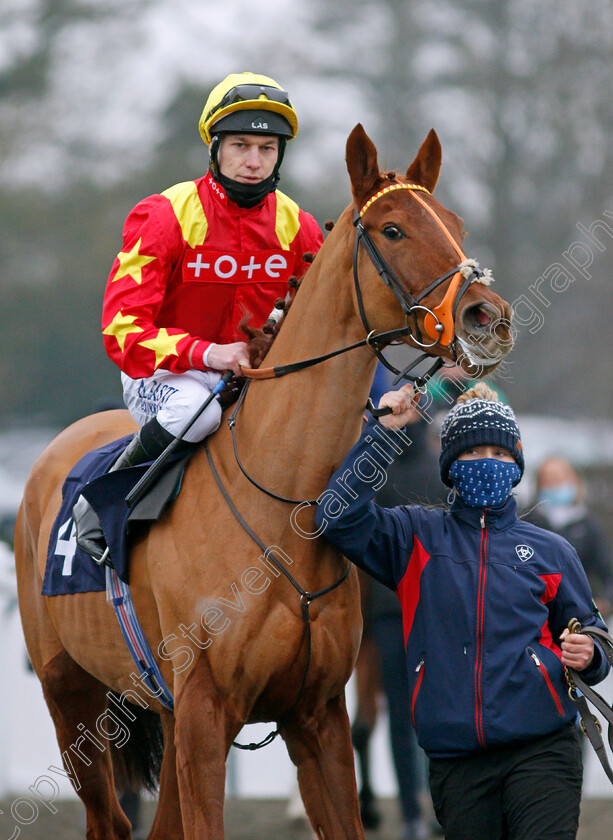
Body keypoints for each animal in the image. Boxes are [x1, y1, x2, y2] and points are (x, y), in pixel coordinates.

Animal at [14, 126, 512, 840]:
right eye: (392, 229)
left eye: (457, 225)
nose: (487, 317)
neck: (284, 505)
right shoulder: (205, 714)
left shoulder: (315, 713)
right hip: (71, 696)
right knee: (107, 818)